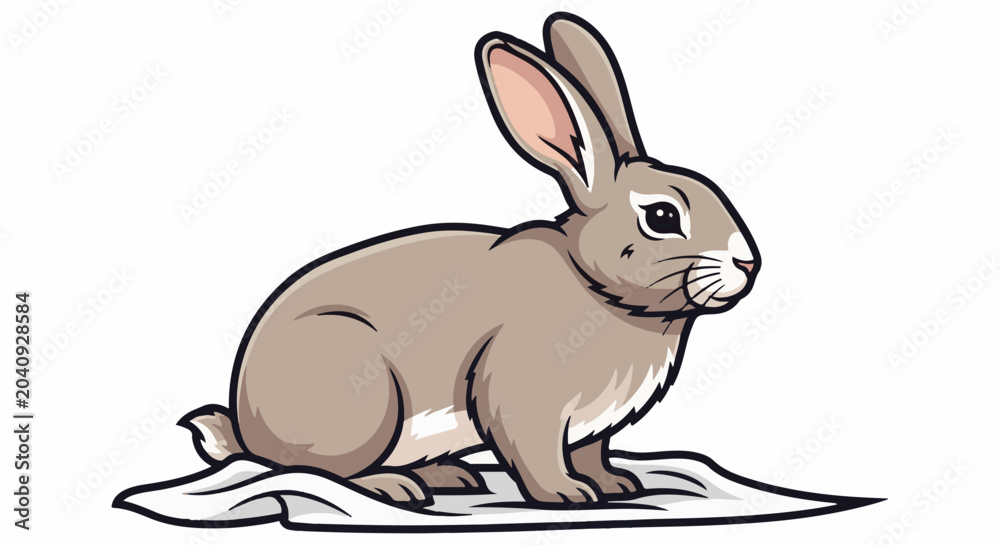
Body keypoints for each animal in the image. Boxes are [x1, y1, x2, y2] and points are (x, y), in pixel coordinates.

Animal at [180, 12, 760, 506]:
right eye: (662, 216)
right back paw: (396, 487)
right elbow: (536, 453)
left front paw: (616, 484)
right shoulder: (525, 398)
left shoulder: (593, 427)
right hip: (361, 396)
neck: (596, 289)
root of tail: (248, 428)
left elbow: (591, 453)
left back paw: (450, 476)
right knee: (324, 469)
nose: (749, 264)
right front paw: (569, 496)